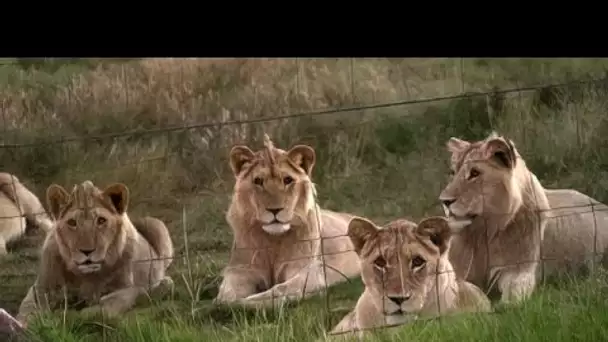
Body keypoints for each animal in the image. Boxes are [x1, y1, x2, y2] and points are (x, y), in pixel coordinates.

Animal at [14, 180, 176, 324]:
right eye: (72, 223)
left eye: (101, 220)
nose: (87, 251)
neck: (87, 276)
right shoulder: (41, 287)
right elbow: (28, 309)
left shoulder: (128, 288)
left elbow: (102, 308)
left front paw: (69, 316)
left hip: (156, 225)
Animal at [214, 134, 360, 310]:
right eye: (258, 181)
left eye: (287, 180)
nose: (275, 210)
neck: (273, 241)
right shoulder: (240, 270)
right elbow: (225, 295)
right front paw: (229, 302)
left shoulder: (309, 271)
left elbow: (280, 289)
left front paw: (254, 302)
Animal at [440, 132, 608, 304]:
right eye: (453, 173)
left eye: (474, 173)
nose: (444, 201)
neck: (483, 232)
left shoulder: (519, 272)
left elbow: (510, 298)